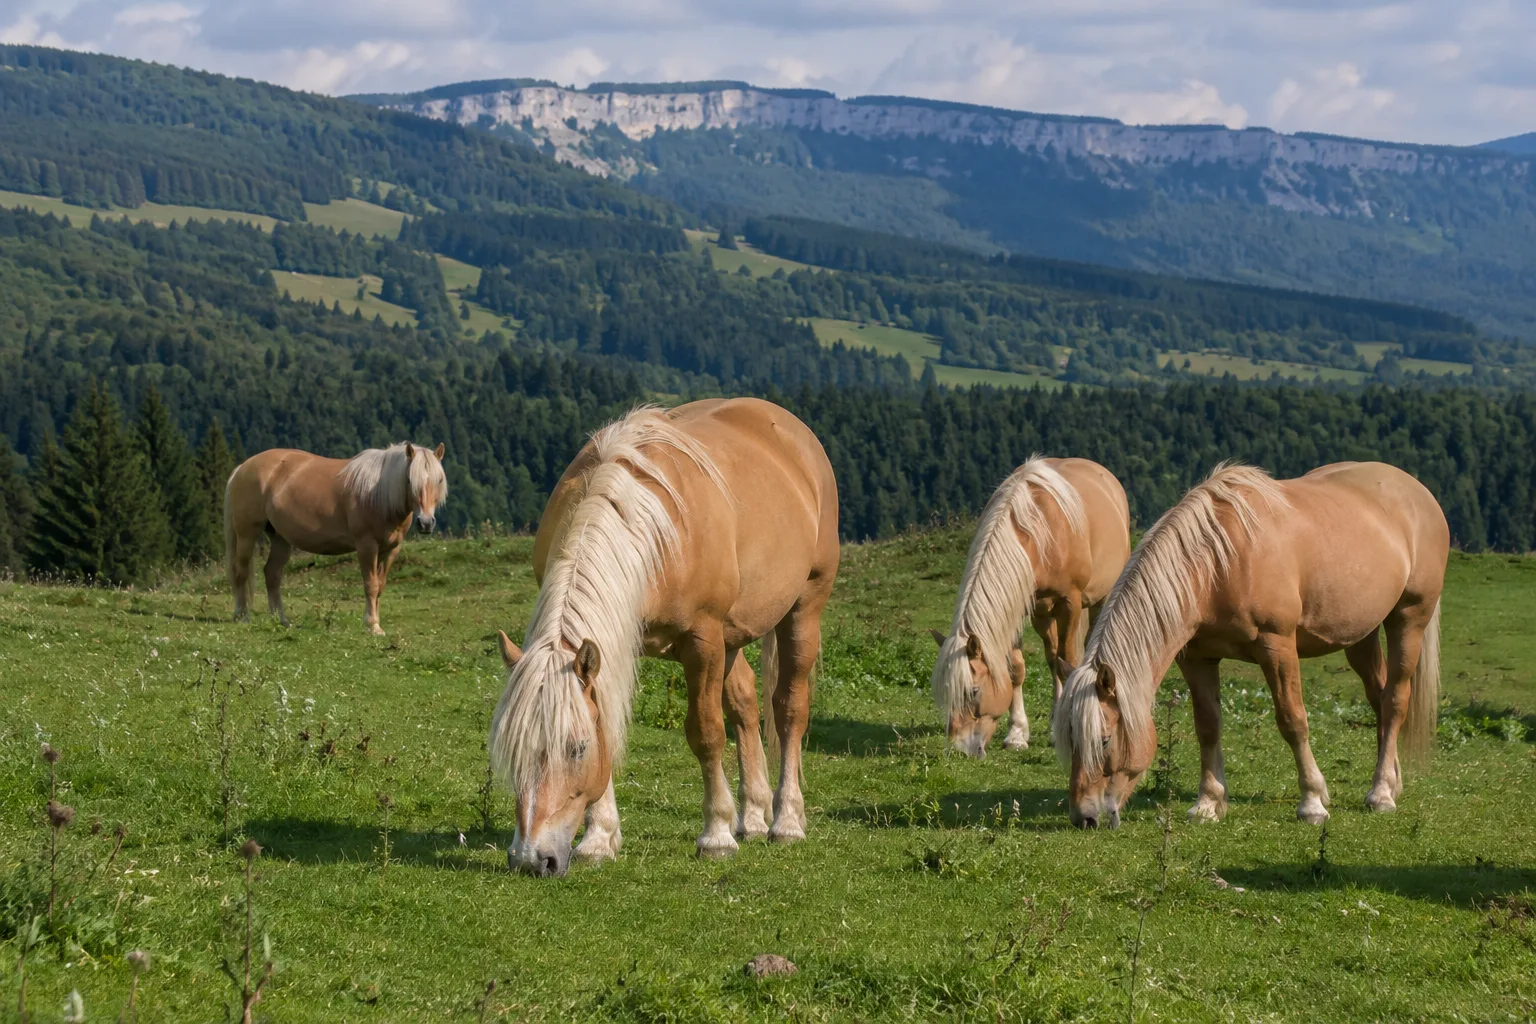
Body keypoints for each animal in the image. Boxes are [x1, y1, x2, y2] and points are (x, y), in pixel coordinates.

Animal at [224, 442, 447, 635]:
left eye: (438, 480)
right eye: (409, 480)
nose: (426, 523)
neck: (378, 494)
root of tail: (242, 468)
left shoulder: (391, 550)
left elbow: (380, 586)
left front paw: (376, 623)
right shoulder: (366, 546)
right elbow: (371, 584)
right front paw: (372, 626)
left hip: (280, 538)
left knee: (272, 574)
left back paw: (281, 620)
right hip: (247, 533)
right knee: (240, 571)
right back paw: (242, 616)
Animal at [489, 398, 839, 877]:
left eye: (577, 749)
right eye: (514, 749)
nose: (530, 859)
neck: (652, 532)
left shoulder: (703, 641)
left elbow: (706, 733)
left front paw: (716, 835)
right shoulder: (617, 646)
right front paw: (598, 840)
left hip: (803, 607)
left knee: (789, 708)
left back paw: (785, 820)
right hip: (732, 638)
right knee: (745, 703)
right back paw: (752, 814)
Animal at [930, 457, 1129, 757]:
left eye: (973, 691)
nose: (960, 749)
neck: (1040, 533)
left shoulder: (1069, 603)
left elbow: (1069, 661)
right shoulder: (1019, 607)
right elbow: (1017, 668)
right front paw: (1017, 733)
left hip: (1098, 599)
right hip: (1042, 615)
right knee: (1052, 656)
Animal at [1053, 462, 1447, 830]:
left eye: (1104, 740)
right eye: (1069, 740)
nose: (1084, 817)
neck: (1218, 562)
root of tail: (1418, 492)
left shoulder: (1277, 647)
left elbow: (1293, 720)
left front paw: (1312, 802)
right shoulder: (1198, 658)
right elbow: (1207, 725)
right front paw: (1208, 804)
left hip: (1409, 619)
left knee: (1395, 701)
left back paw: (1381, 793)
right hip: (1360, 636)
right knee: (1379, 699)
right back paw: (1392, 781)